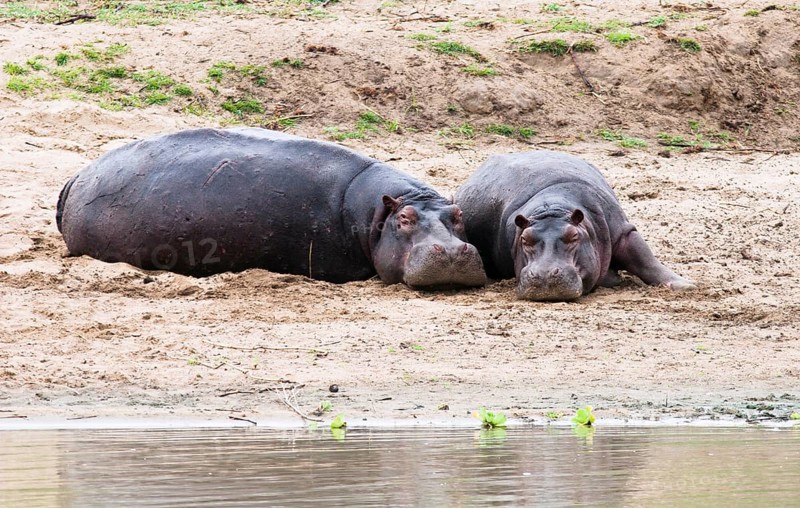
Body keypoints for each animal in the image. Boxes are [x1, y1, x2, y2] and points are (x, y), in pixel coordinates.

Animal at [455, 151, 695, 300]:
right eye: (525, 239)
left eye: (573, 236)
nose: (544, 275)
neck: (553, 209)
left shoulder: (623, 231)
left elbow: (646, 259)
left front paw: (686, 286)